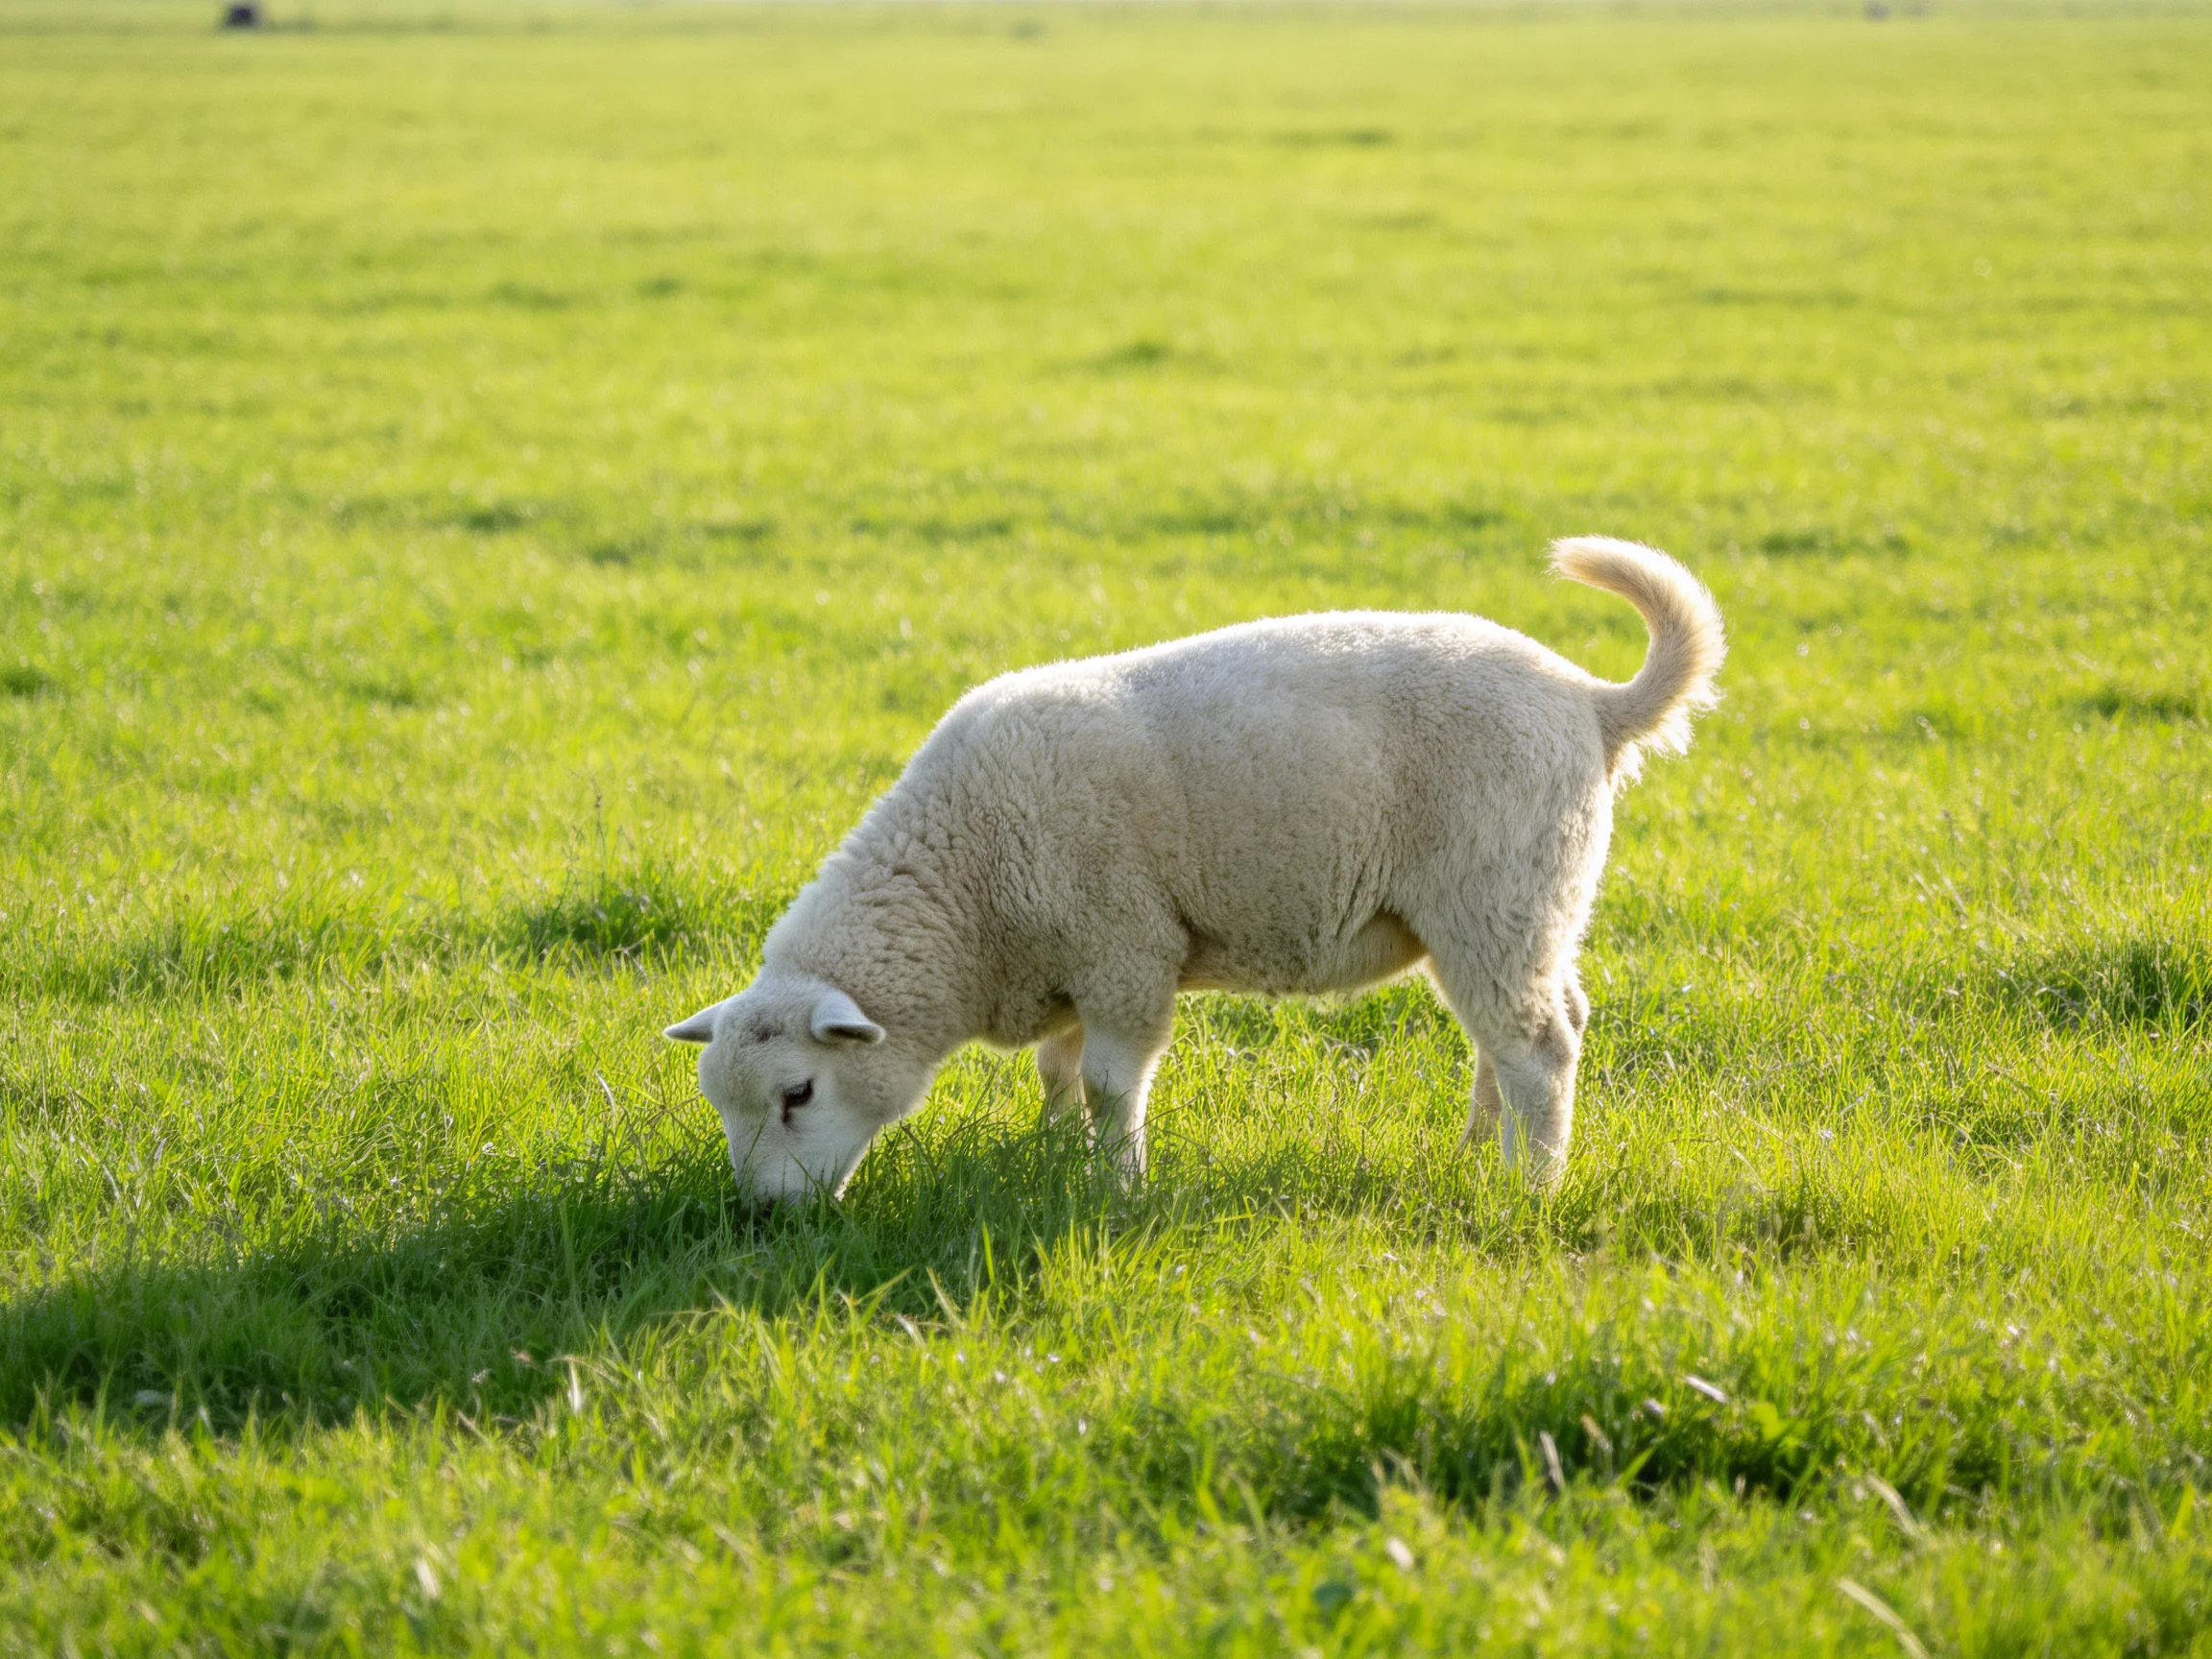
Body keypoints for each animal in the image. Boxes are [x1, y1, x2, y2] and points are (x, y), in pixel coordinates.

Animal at [666, 537, 1725, 1202]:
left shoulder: (1124, 950)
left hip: (1495, 890)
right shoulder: (1071, 964)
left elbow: (1108, 1083)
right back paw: (1475, 1156)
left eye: (798, 1094)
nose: (762, 1218)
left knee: (1539, 1046)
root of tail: (1593, 702)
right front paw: (1052, 1158)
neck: (966, 894)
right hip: (1520, 905)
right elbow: (1058, 1074)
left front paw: (1116, 1187)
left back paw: (1527, 1188)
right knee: (1518, 1032)